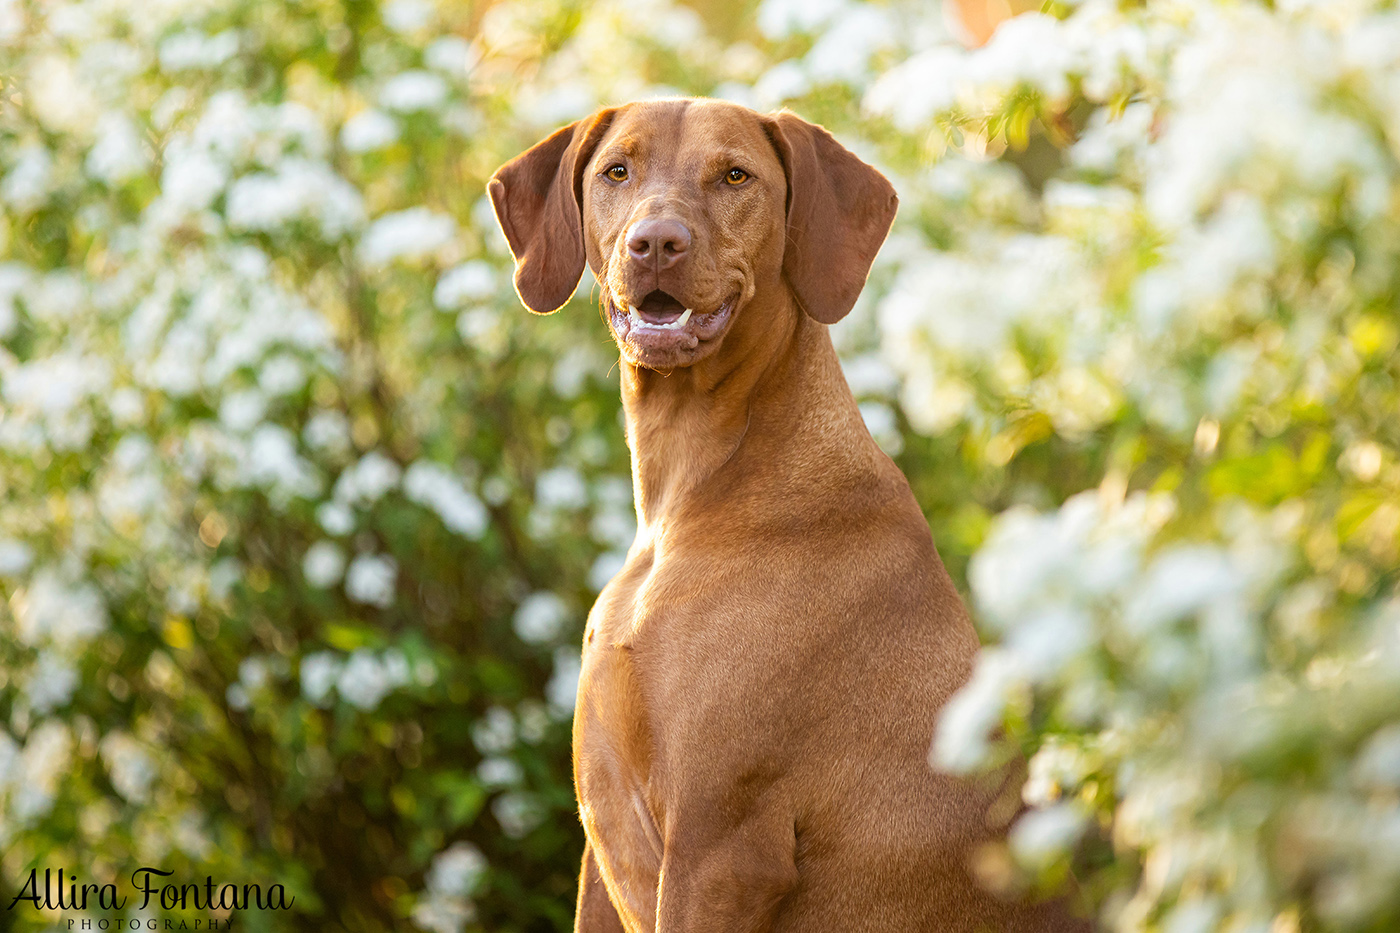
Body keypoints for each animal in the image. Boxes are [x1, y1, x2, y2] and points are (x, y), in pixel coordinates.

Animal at [490, 98, 1080, 924]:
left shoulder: (722, 851)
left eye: (736, 176)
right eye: (617, 170)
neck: (695, 490)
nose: (656, 242)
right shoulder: (600, 856)